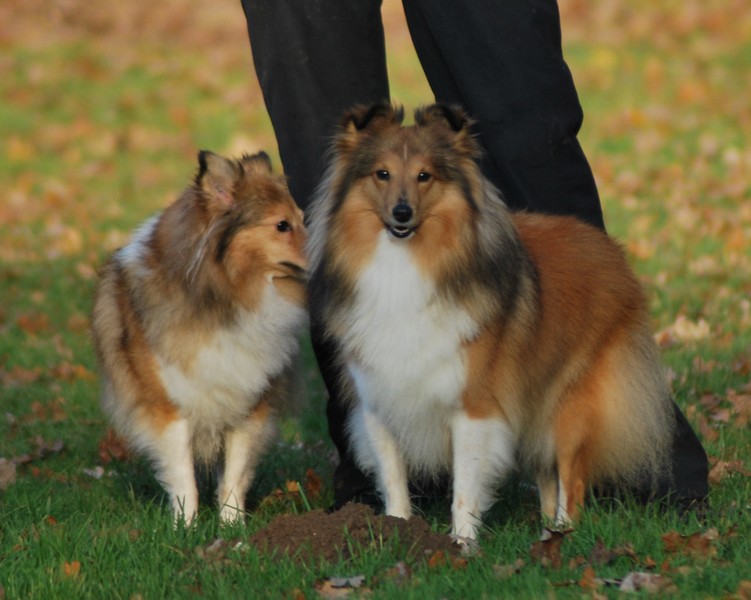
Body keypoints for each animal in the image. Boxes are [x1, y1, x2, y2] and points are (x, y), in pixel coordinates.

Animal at [92, 150, 307, 525]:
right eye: (282, 225)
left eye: (303, 219)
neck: (222, 301)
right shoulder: (169, 407)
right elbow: (182, 475)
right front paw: (185, 527)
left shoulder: (250, 403)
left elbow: (235, 473)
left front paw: (233, 526)